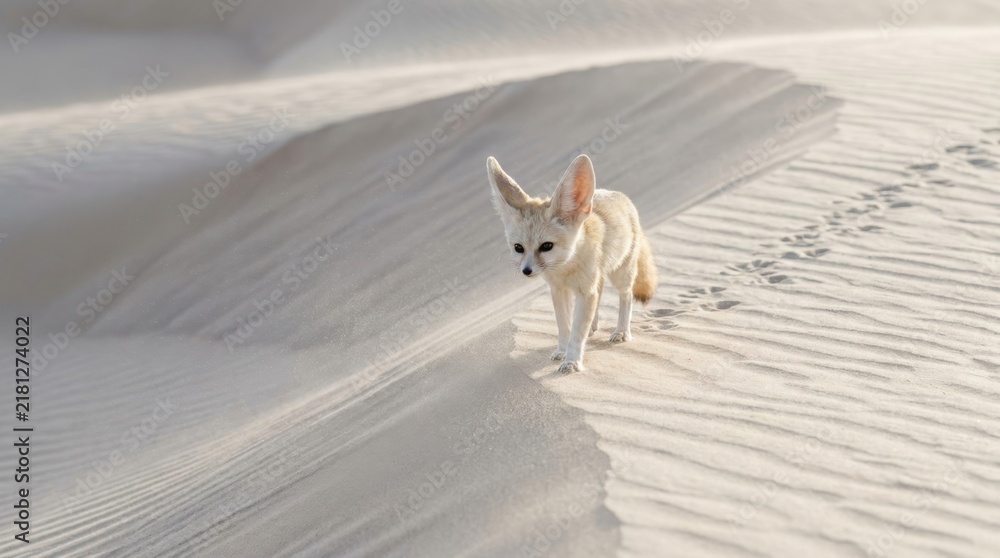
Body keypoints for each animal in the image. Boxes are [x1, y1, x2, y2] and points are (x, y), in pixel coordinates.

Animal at [487, 154, 657, 374]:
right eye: (518, 248)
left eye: (546, 246)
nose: (526, 271)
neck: (564, 268)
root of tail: (618, 195)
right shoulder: (559, 290)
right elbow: (564, 326)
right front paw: (562, 350)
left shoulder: (585, 292)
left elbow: (577, 331)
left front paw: (572, 361)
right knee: (600, 293)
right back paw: (594, 326)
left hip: (620, 275)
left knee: (626, 296)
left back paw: (621, 331)